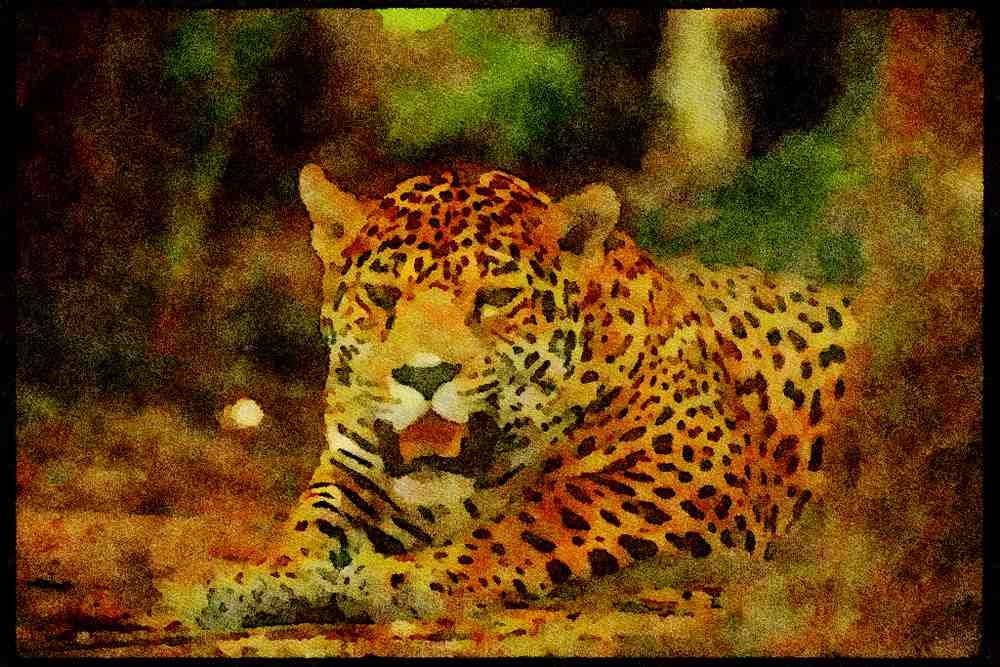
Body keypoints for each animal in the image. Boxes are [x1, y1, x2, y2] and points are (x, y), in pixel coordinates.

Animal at [175, 163, 860, 631]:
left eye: (497, 299)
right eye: (382, 295)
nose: (425, 375)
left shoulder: (686, 474)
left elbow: (533, 522)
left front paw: (399, 578)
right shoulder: (354, 470)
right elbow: (310, 526)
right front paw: (264, 580)